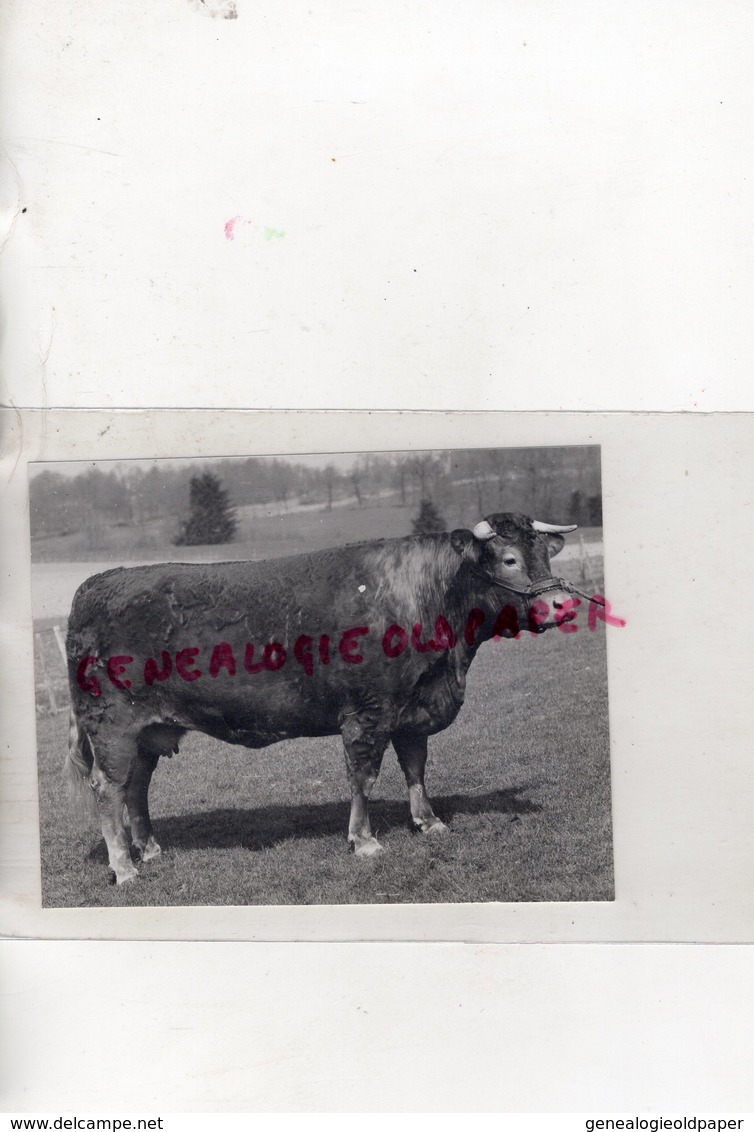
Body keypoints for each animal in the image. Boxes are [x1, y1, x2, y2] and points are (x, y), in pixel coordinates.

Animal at [65, 511, 579, 882]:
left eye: (546, 556)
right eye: (508, 559)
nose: (563, 604)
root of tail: (97, 583)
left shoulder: (411, 710)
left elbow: (415, 768)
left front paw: (429, 822)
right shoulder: (367, 713)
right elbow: (363, 777)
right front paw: (364, 841)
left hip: (148, 731)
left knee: (136, 786)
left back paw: (149, 850)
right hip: (112, 726)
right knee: (108, 789)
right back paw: (124, 867)